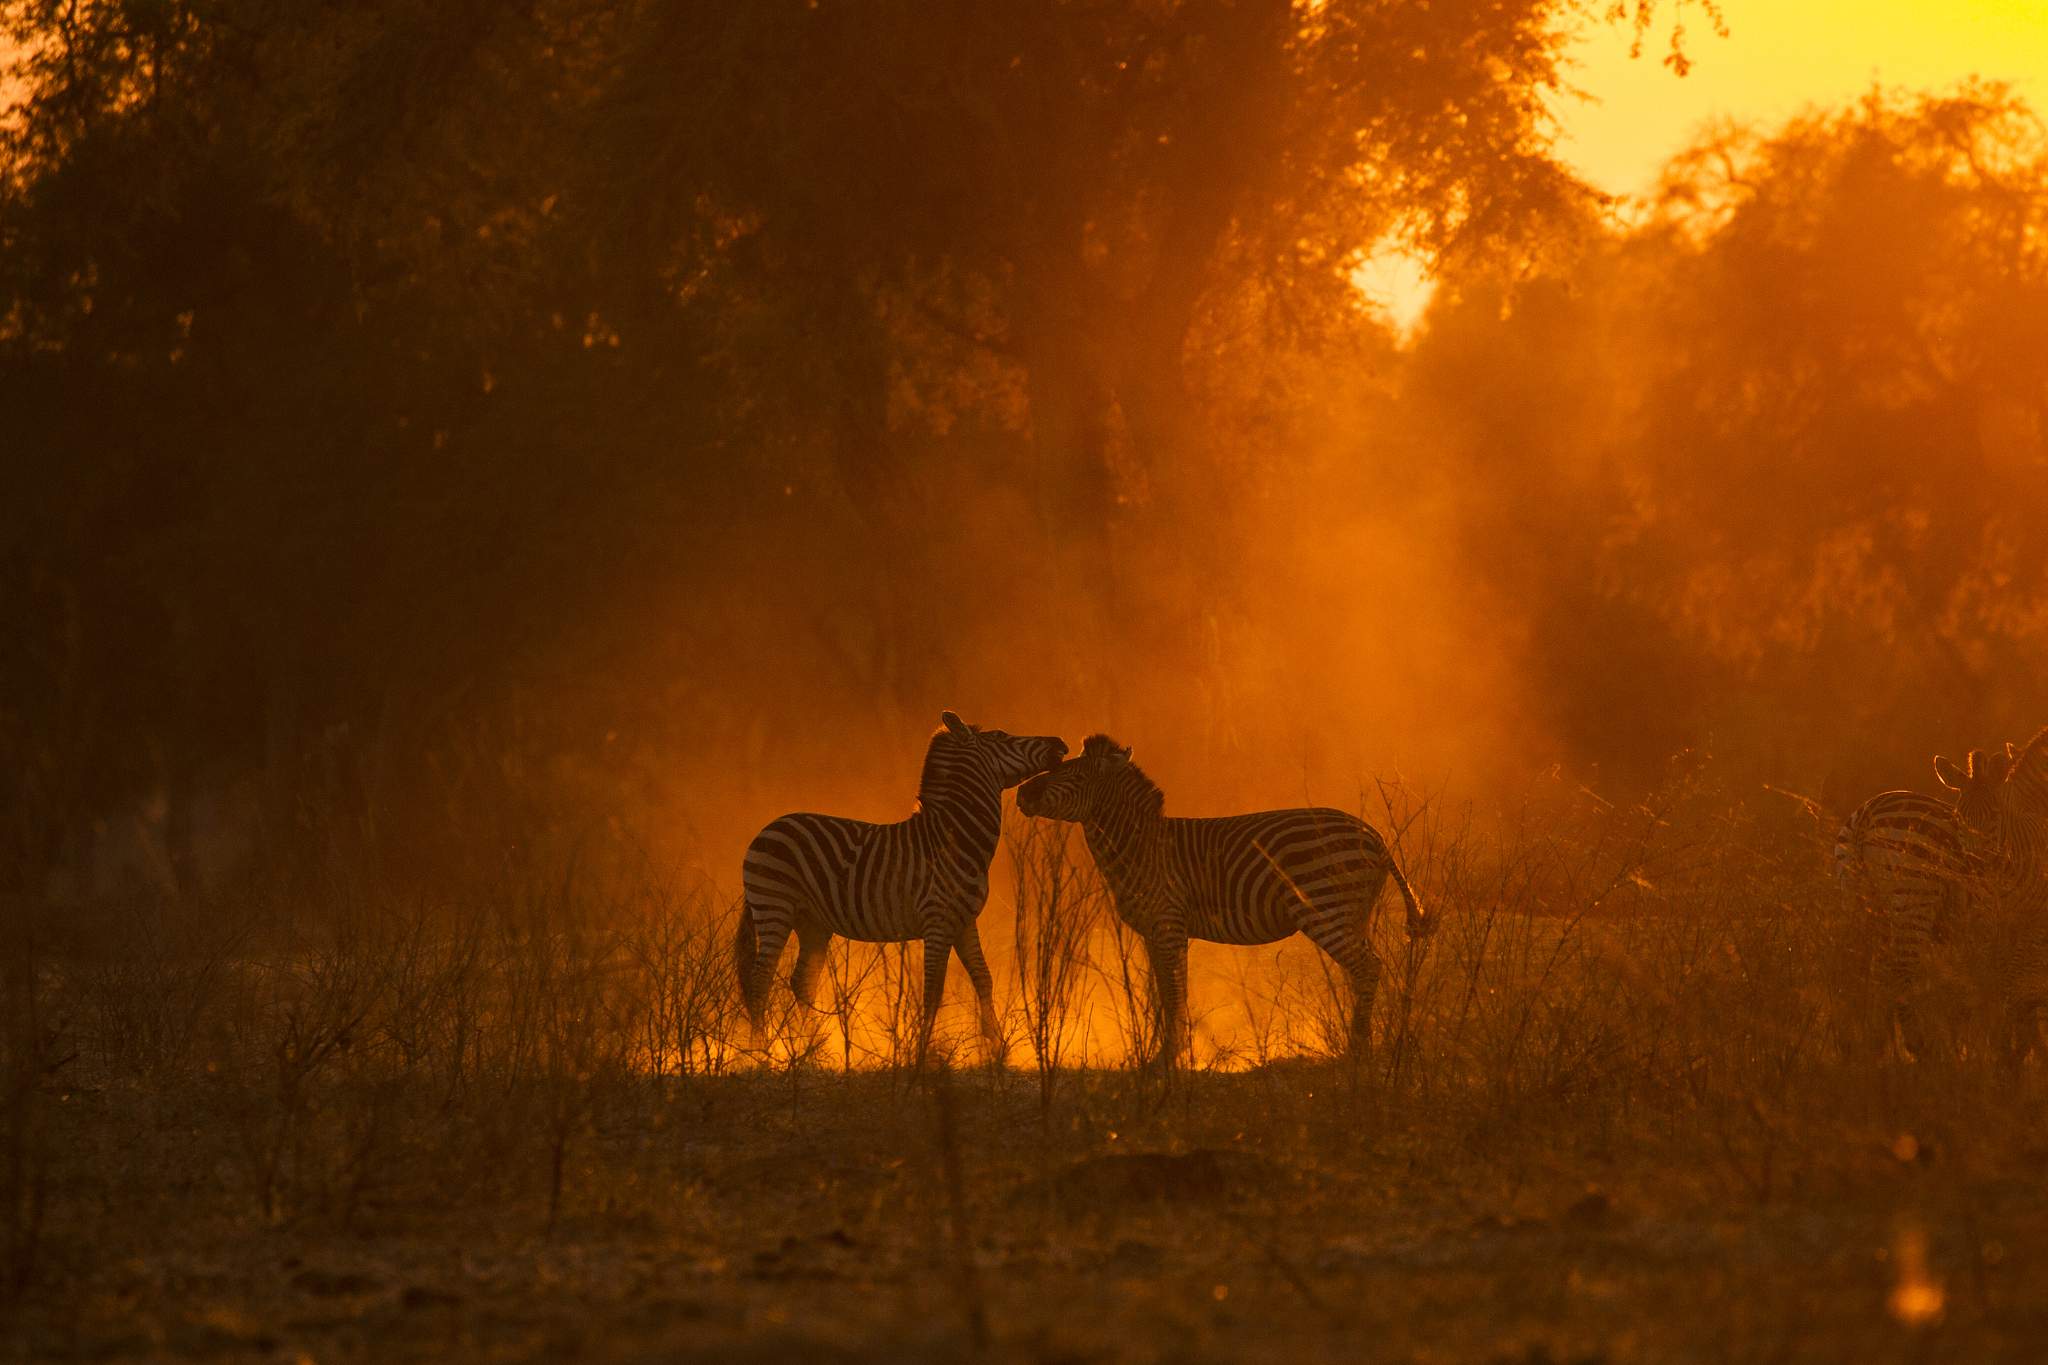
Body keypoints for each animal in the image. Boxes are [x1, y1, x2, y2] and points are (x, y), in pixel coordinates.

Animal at [736, 712, 1067, 1055]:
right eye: (1002, 735)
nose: (1059, 742)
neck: (954, 839)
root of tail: (769, 827)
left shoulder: (964, 921)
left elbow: (982, 978)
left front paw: (997, 1046)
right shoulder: (937, 922)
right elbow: (933, 991)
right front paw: (921, 1053)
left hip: (812, 922)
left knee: (802, 980)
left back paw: (813, 1049)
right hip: (774, 906)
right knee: (760, 980)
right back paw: (761, 1052)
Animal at [1015, 734, 1429, 1062]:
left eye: (1077, 776)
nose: (1021, 793)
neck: (1140, 847)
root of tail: (1375, 836)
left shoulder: (1169, 924)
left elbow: (1172, 991)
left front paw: (1169, 1058)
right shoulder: (1154, 931)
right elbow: (1165, 991)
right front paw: (1169, 1052)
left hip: (1326, 909)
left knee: (1368, 967)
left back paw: (1356, 1049)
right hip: (1353, 914)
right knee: (1362, 971)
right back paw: (1364, 1046)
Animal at [1835, 727, 2048, 1060]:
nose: (1973, 869)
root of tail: (1866, 815)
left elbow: (2009, 984)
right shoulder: (2029, 922)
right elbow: (2023, 987)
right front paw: (2015, 1049)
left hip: (1860, 903)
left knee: (1856, 974)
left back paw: (1866, 1052)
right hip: (1913, 902)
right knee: (1898, 972)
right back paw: (1917, 1049)